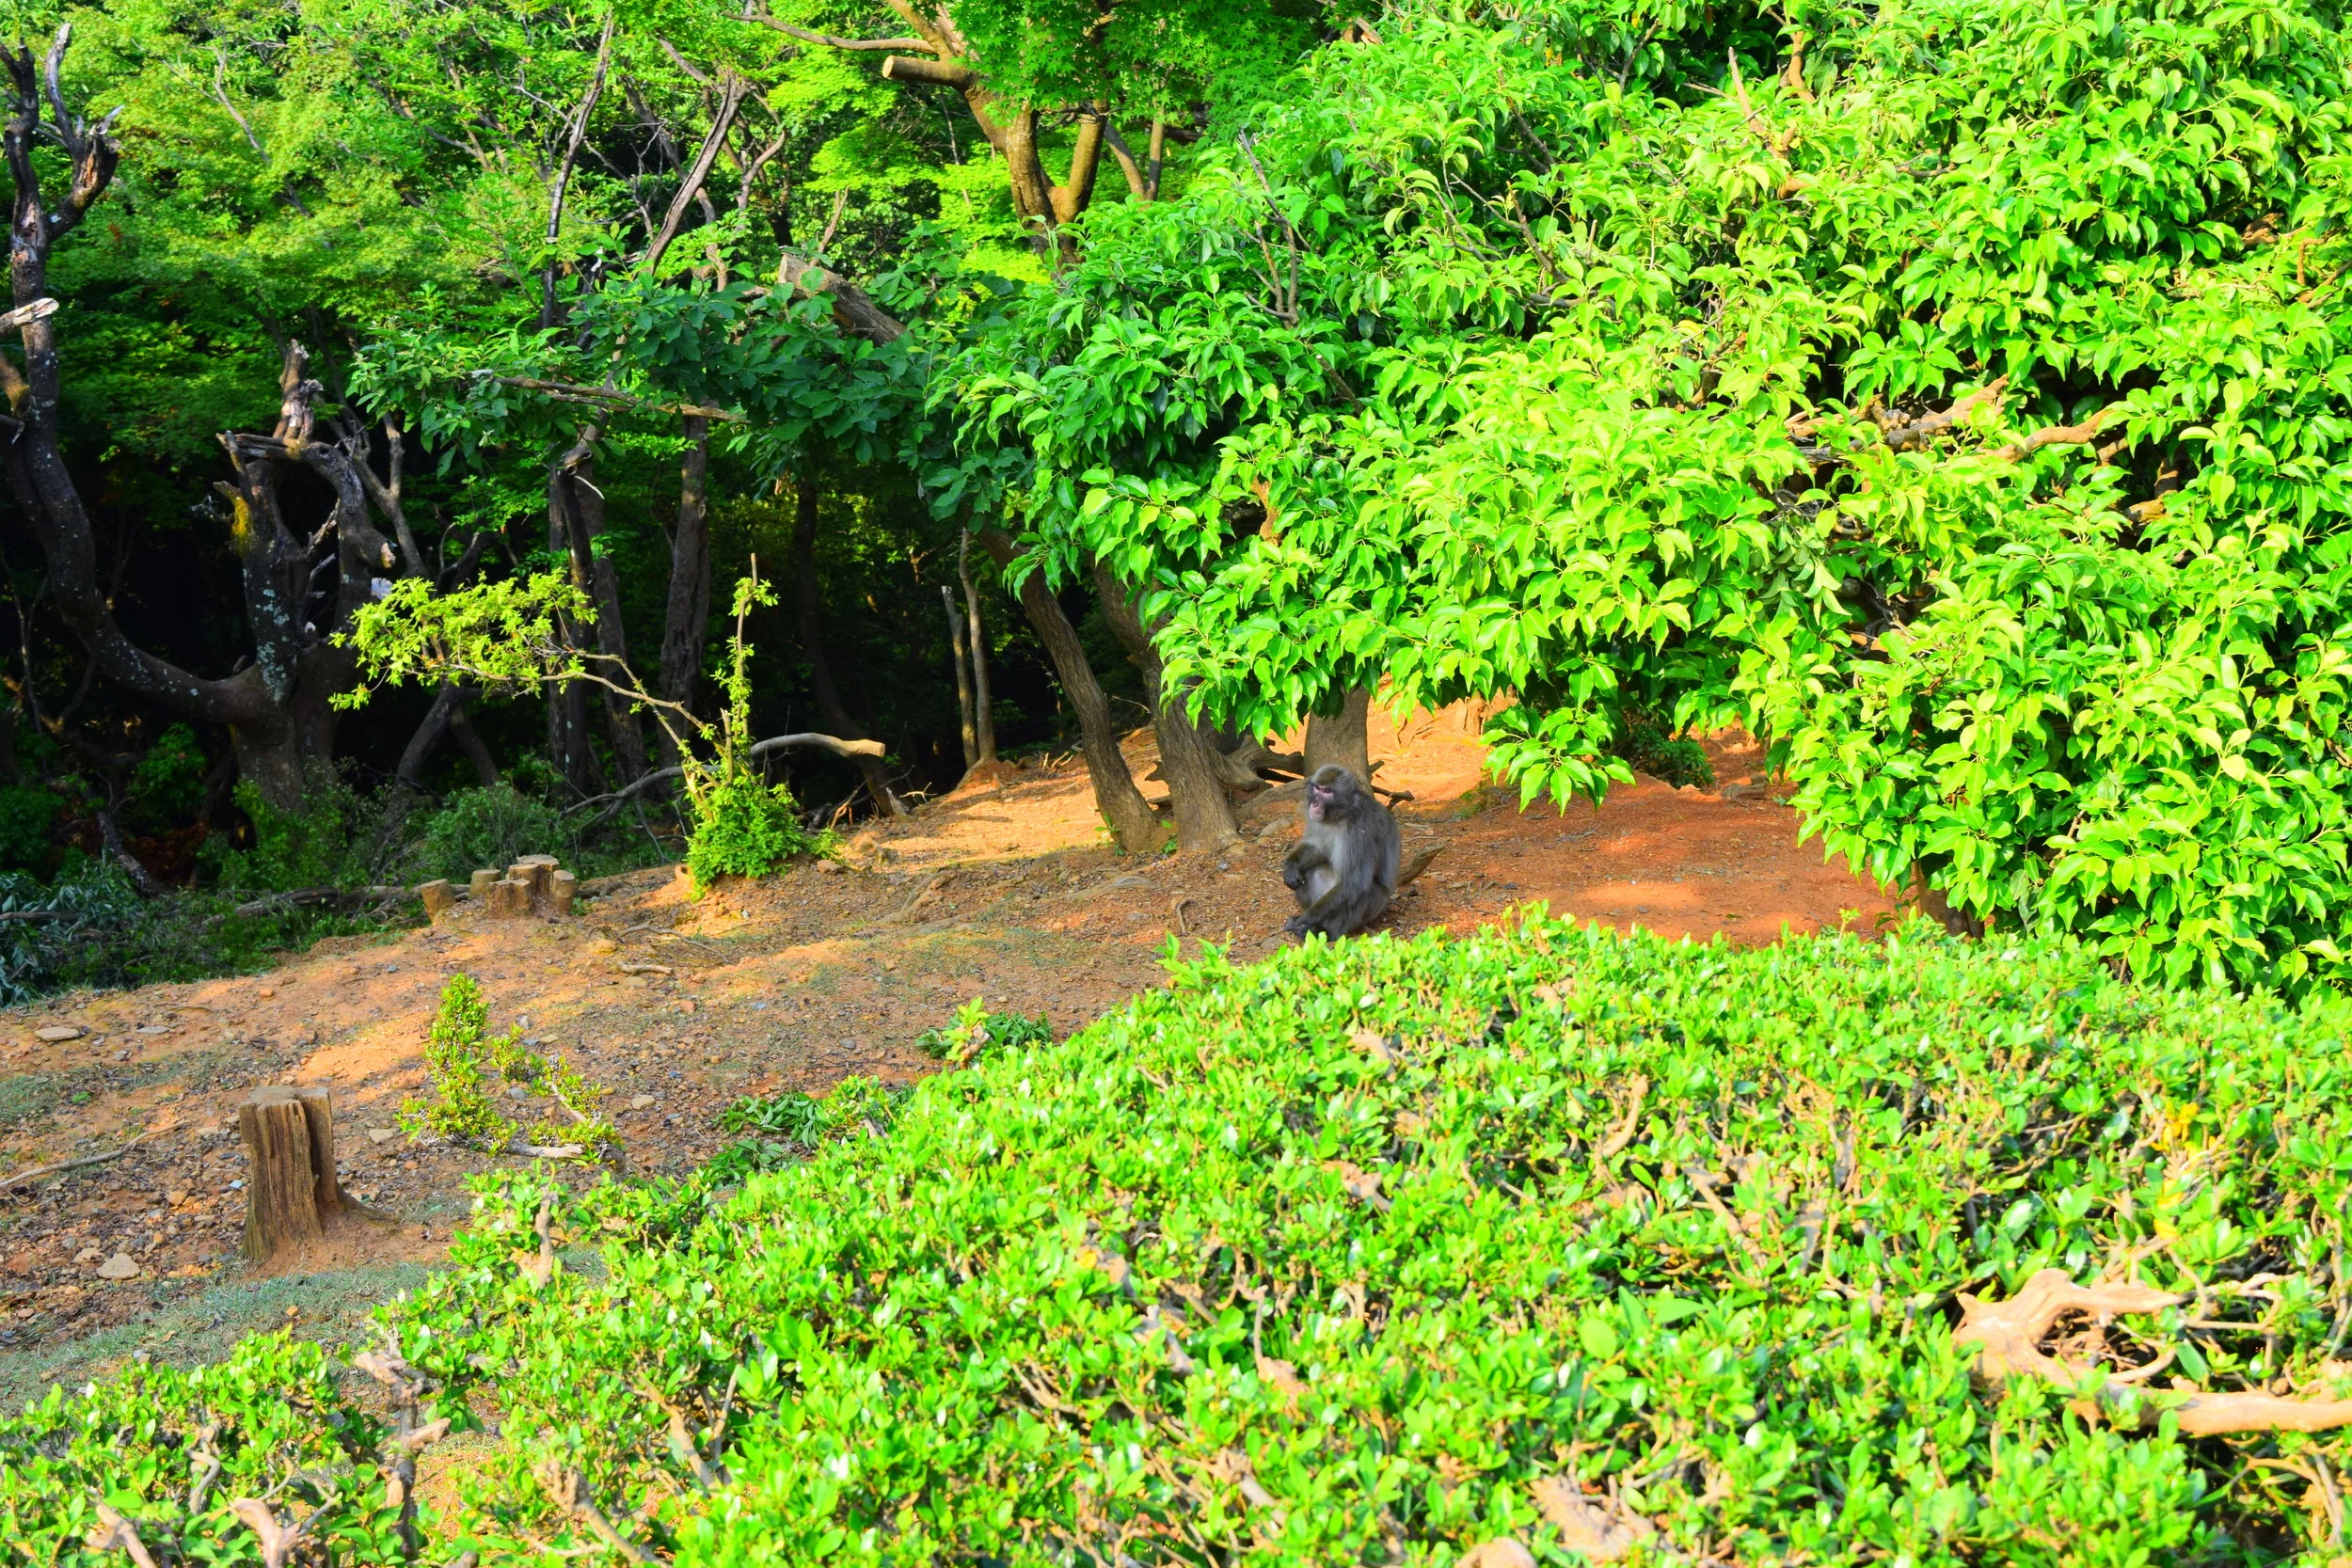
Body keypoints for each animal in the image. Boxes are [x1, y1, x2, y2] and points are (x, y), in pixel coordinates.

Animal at [1282, 764, 1401, 939]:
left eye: (1327, 792)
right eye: (1317, 788)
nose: (1314, 804)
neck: (1340, 815)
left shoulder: (1360, 830)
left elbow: (1354, 882)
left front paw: (1305, 919)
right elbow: (1318, 849)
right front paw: (1290, 866)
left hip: (1374, 908)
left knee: (1361, 891)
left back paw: (1323, 931)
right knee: (1309, 871)